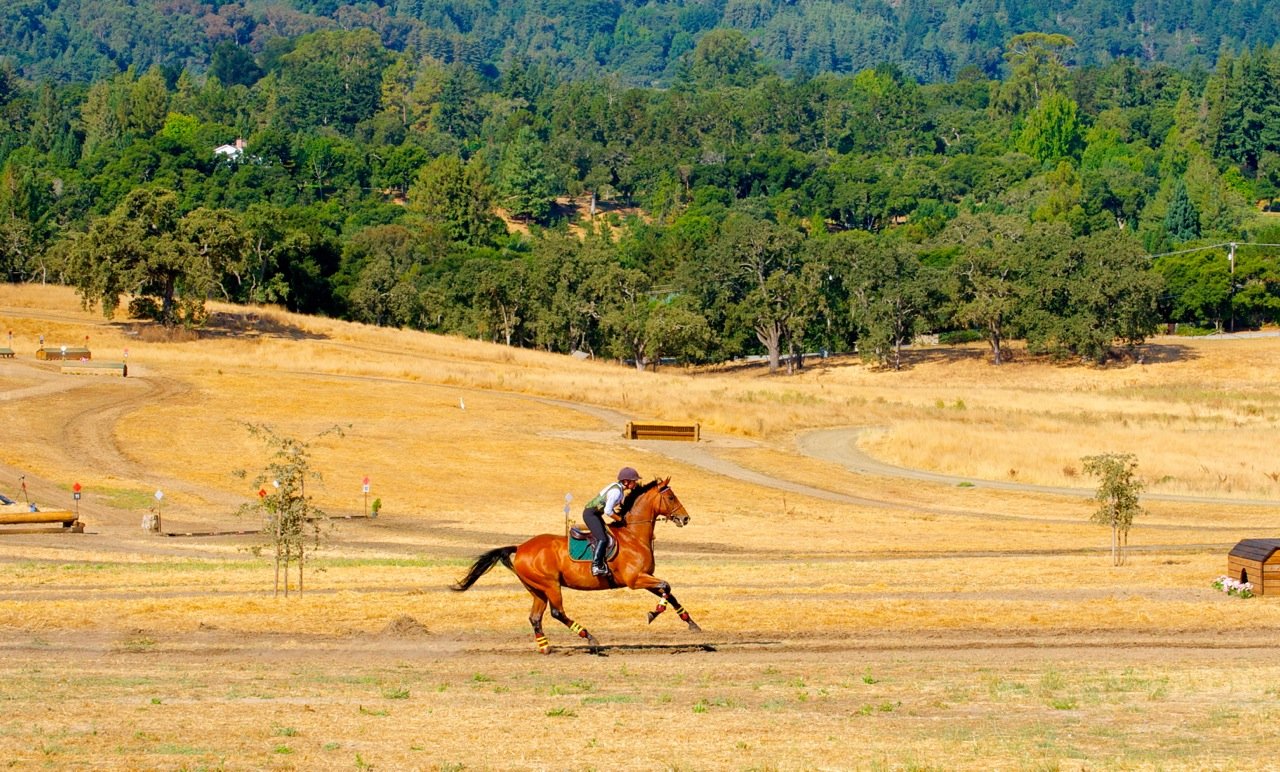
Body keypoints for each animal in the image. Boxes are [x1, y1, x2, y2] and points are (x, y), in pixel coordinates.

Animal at [453, 476, 701, 652]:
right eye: (671, 498)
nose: (685, 518)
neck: (633, 535)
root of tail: (521, 547)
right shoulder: (635, 579)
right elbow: (667, 587)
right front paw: (654, 613)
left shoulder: (645, 577)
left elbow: (670, 592)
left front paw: (691, 623)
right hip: (551, 585)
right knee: (557, 612)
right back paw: (589, 637)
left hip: (537, 589)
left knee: (535, 617)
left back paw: (545, 647)